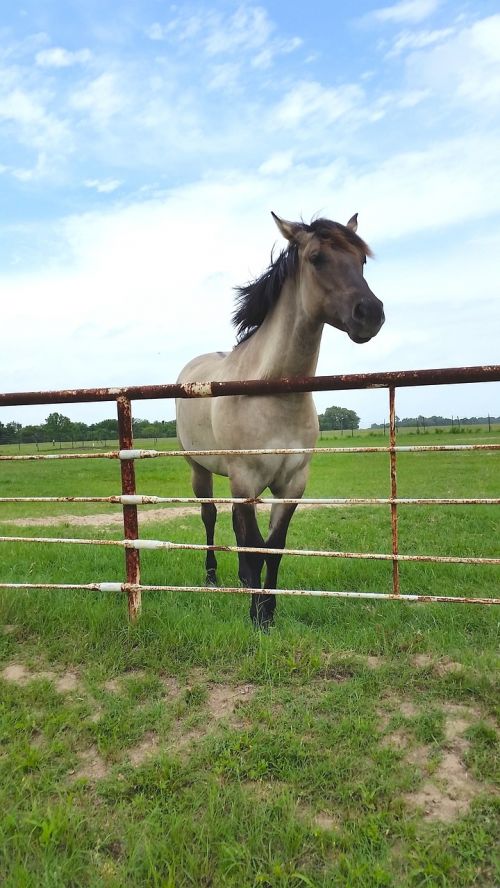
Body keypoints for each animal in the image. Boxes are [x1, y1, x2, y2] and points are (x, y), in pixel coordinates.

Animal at [178, 212, 384, 628]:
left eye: (362, 260)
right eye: (317, 258)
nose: (370, 313)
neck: (274, 392)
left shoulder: (292, 483)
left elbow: (273, 546)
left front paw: (268, 611)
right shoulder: (245, 480)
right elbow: (255, 544)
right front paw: (256, 616)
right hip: (200, 469)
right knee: (209, 516)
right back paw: (212, 577)